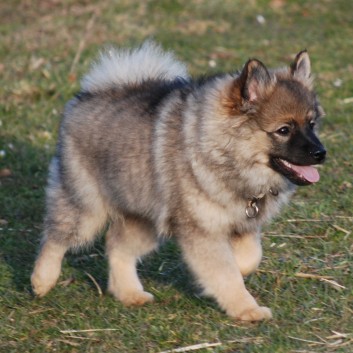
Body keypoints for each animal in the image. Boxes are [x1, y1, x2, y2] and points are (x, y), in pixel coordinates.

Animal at [31, 41, 326, 320]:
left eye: (312, 124)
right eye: (284, 130)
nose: (321, 153)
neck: (224, 152)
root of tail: (88, 95)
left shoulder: (244, 225)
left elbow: (250, 258)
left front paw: (239, 270)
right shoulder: (203, 231)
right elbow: (226, 274)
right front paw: (247, 309)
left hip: (146, 218)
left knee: (116, 244)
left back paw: (129, 293)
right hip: (85, 207)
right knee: (55, 237)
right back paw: (42, 280)